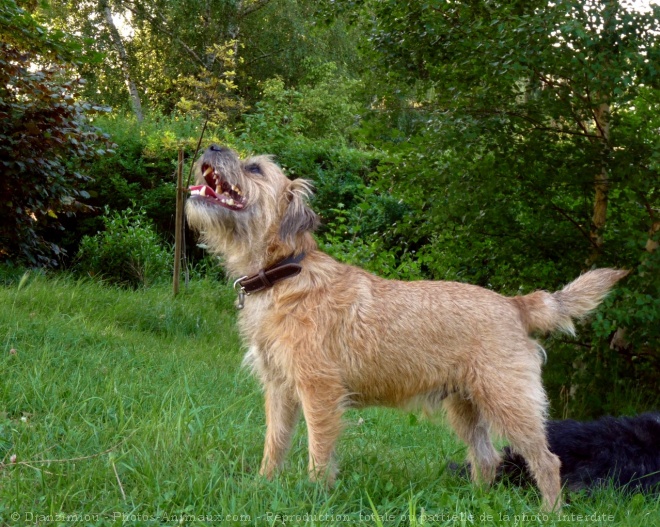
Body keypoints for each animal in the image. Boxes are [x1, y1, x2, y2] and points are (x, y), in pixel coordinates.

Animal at [186, 143, 628, 512]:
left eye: (255, 168)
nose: (212, 146)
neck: (284, 273)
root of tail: (514, 303)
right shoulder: (279, 388)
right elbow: (274, 442)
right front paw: (263, 485)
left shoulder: (319, 390)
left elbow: (319, 449)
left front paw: (315, 495)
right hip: (465, 406)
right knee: (487, 457)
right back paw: (477, 503)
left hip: (509, 400)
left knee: (546, 459)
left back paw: (549, 512)